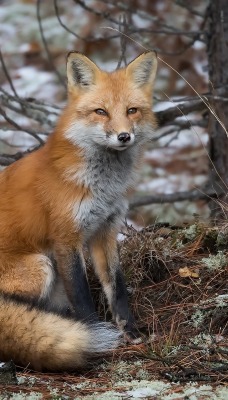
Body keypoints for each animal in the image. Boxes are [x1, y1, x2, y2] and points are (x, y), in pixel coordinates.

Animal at [0, 50, 157, 372]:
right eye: (101, 112)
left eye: (132, 110)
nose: (124, 136)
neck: (101, 186)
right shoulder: (66, 238)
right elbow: (83, 297)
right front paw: (93, 335)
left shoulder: (105, 231)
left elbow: (117, 287)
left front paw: (130, 332)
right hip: (40, 266)